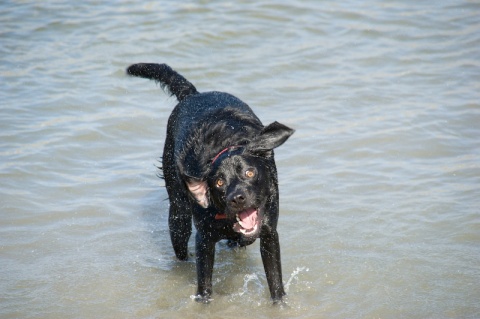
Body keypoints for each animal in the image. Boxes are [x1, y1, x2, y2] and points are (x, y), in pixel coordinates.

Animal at [125, 63, 294, 304]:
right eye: (220, 182)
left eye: (250, 172)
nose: (237, 198)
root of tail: (194, 94)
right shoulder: (204, 239)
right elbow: (204, 286)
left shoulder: (270, 234)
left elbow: (276, 283)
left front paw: (280, 304)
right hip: (178, 216)